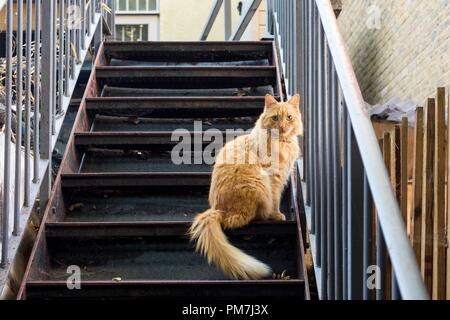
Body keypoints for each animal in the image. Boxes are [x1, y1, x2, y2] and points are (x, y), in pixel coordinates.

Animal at [188, 94, 300, 278]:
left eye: (289, 117)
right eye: (275, 118)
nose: (283, 126)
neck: (281, 142)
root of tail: (217, 209)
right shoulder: (274, 178)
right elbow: (276, 200)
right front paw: (277, 215)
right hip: (258, 183)